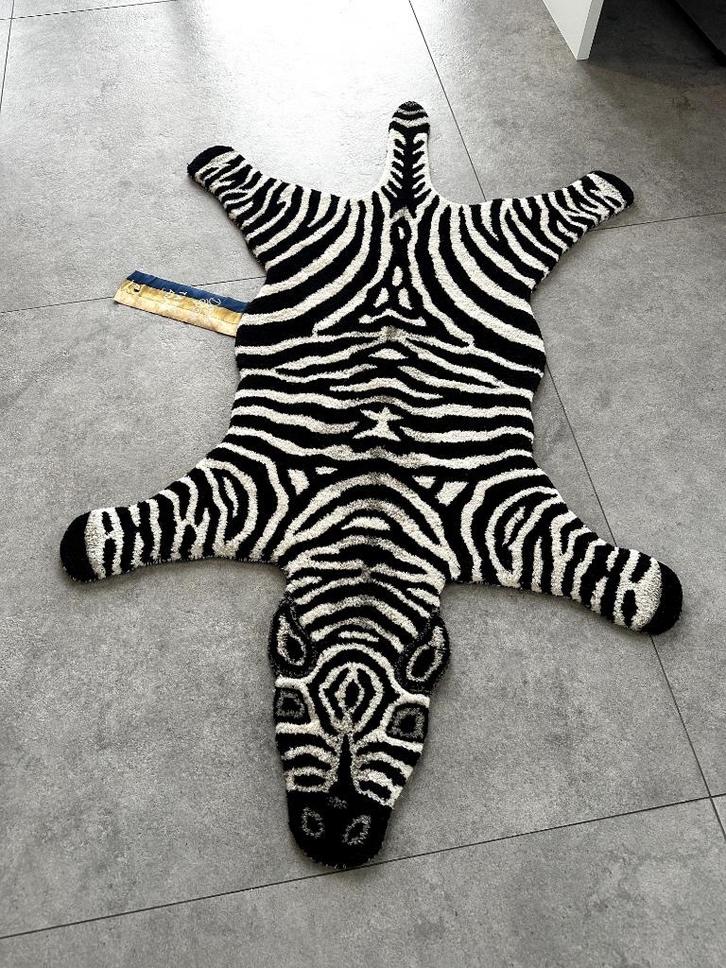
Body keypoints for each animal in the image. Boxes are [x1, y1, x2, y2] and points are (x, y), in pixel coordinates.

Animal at [60, 101, 682, 869]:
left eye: (412, 724)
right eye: (289, 708)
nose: (332, 837)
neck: (370, 520)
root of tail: (406, 206)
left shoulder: (509, 517)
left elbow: (632, 588)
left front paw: (653, 587)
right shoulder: (241, 492)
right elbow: (117, 535)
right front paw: (92, 536)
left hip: (493, 238)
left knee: (557, 200)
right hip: (309, 226)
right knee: (256, 183)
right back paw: (233, 155)